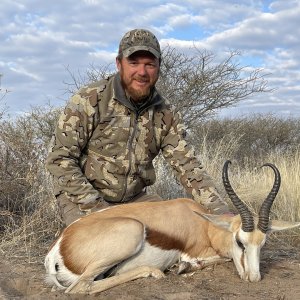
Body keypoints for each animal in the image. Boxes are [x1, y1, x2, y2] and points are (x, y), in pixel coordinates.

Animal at [44, 161, 300, 294]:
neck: (203, 225)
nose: (254, 278)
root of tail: (58, 248)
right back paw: (155, 272)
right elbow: (215, 258)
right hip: (132, 231)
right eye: (240, 242)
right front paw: (183, 266)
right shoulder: (196, 251)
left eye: (262, 243)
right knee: (80, 288)